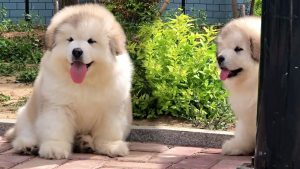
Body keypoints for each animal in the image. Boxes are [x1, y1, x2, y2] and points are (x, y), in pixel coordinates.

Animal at [4, 4, 134, 160]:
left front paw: (111, 146)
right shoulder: (58, 106)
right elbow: (56, 128)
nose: (77, 51)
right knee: (26, 133)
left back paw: (84, 143)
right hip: (26, 115)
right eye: (70, 39)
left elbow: (110, 130)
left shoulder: (112, 108)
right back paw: (27, 146)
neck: (85, 82)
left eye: (91, 41)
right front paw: (55, 148)